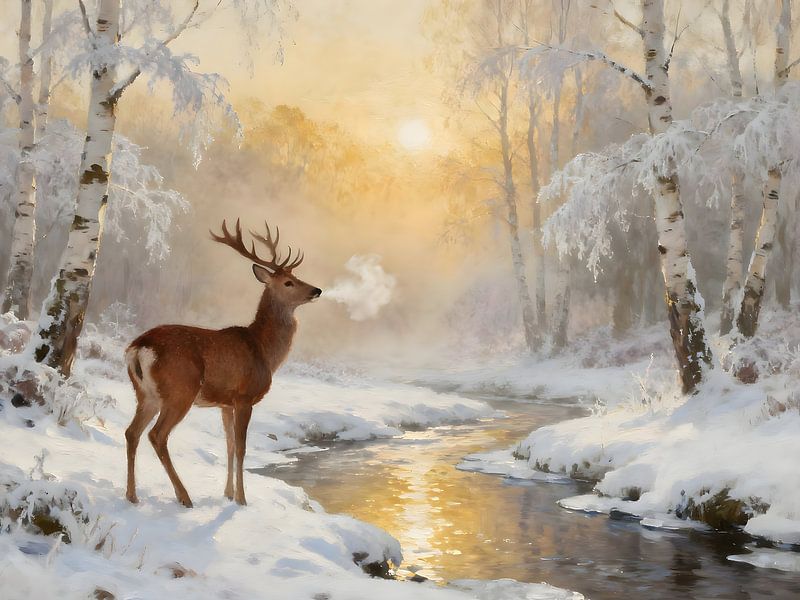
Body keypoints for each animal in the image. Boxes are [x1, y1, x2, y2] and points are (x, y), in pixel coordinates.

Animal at [124, 219, 321, 507]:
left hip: (145, 394)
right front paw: (242, 499)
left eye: (297, 277)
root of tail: (140, 347)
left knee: (132, 433)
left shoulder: (225, 403)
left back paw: (132, 495)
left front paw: (228, 493)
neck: (263, 349)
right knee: (156, 435)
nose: (317, 290)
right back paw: (184, 496)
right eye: (289, 282)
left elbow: (228, 446)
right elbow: (241, 447)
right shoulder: (244, 396)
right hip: (180, 390)